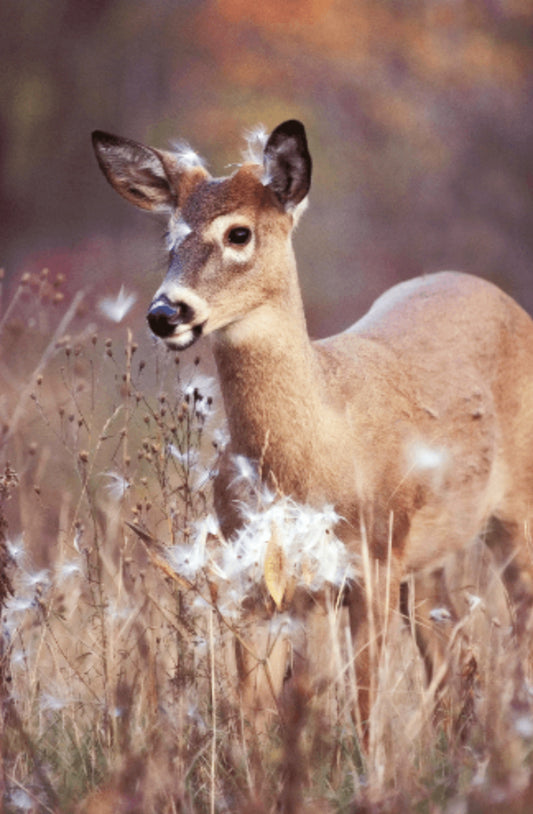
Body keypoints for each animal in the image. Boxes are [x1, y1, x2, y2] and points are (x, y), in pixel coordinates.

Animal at [92, 121, 533, 740]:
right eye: (169, 240)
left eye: (239, 233)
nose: (165, 314)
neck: (313, 456)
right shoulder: (254, 582)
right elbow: (252, 717)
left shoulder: (374, 558)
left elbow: (368, 713)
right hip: (431, 560)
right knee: (454, 657)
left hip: (514, 511)